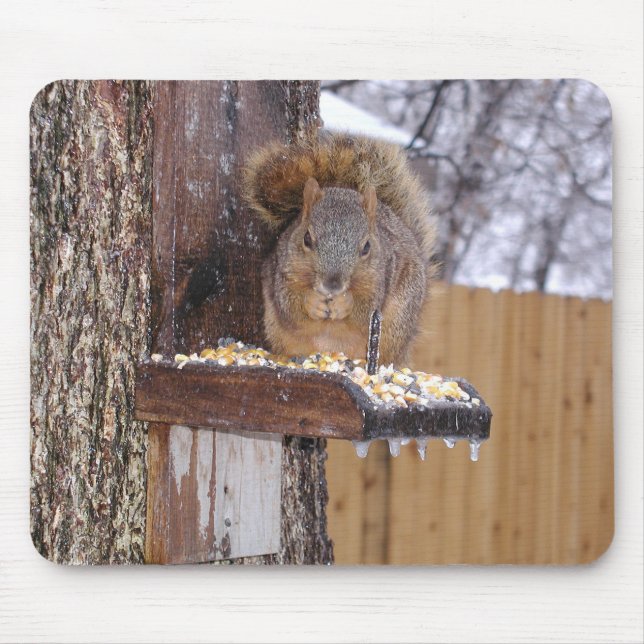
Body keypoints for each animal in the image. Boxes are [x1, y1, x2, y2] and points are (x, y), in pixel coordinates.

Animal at [242, 132, 437, 366]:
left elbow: (366, 309)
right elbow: (289, 305)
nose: (332, 285)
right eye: (307, 238)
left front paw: (345, 303)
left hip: (397, 325)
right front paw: (312, 302)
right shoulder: (282, 271)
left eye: (367, 247)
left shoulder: (381, 278)